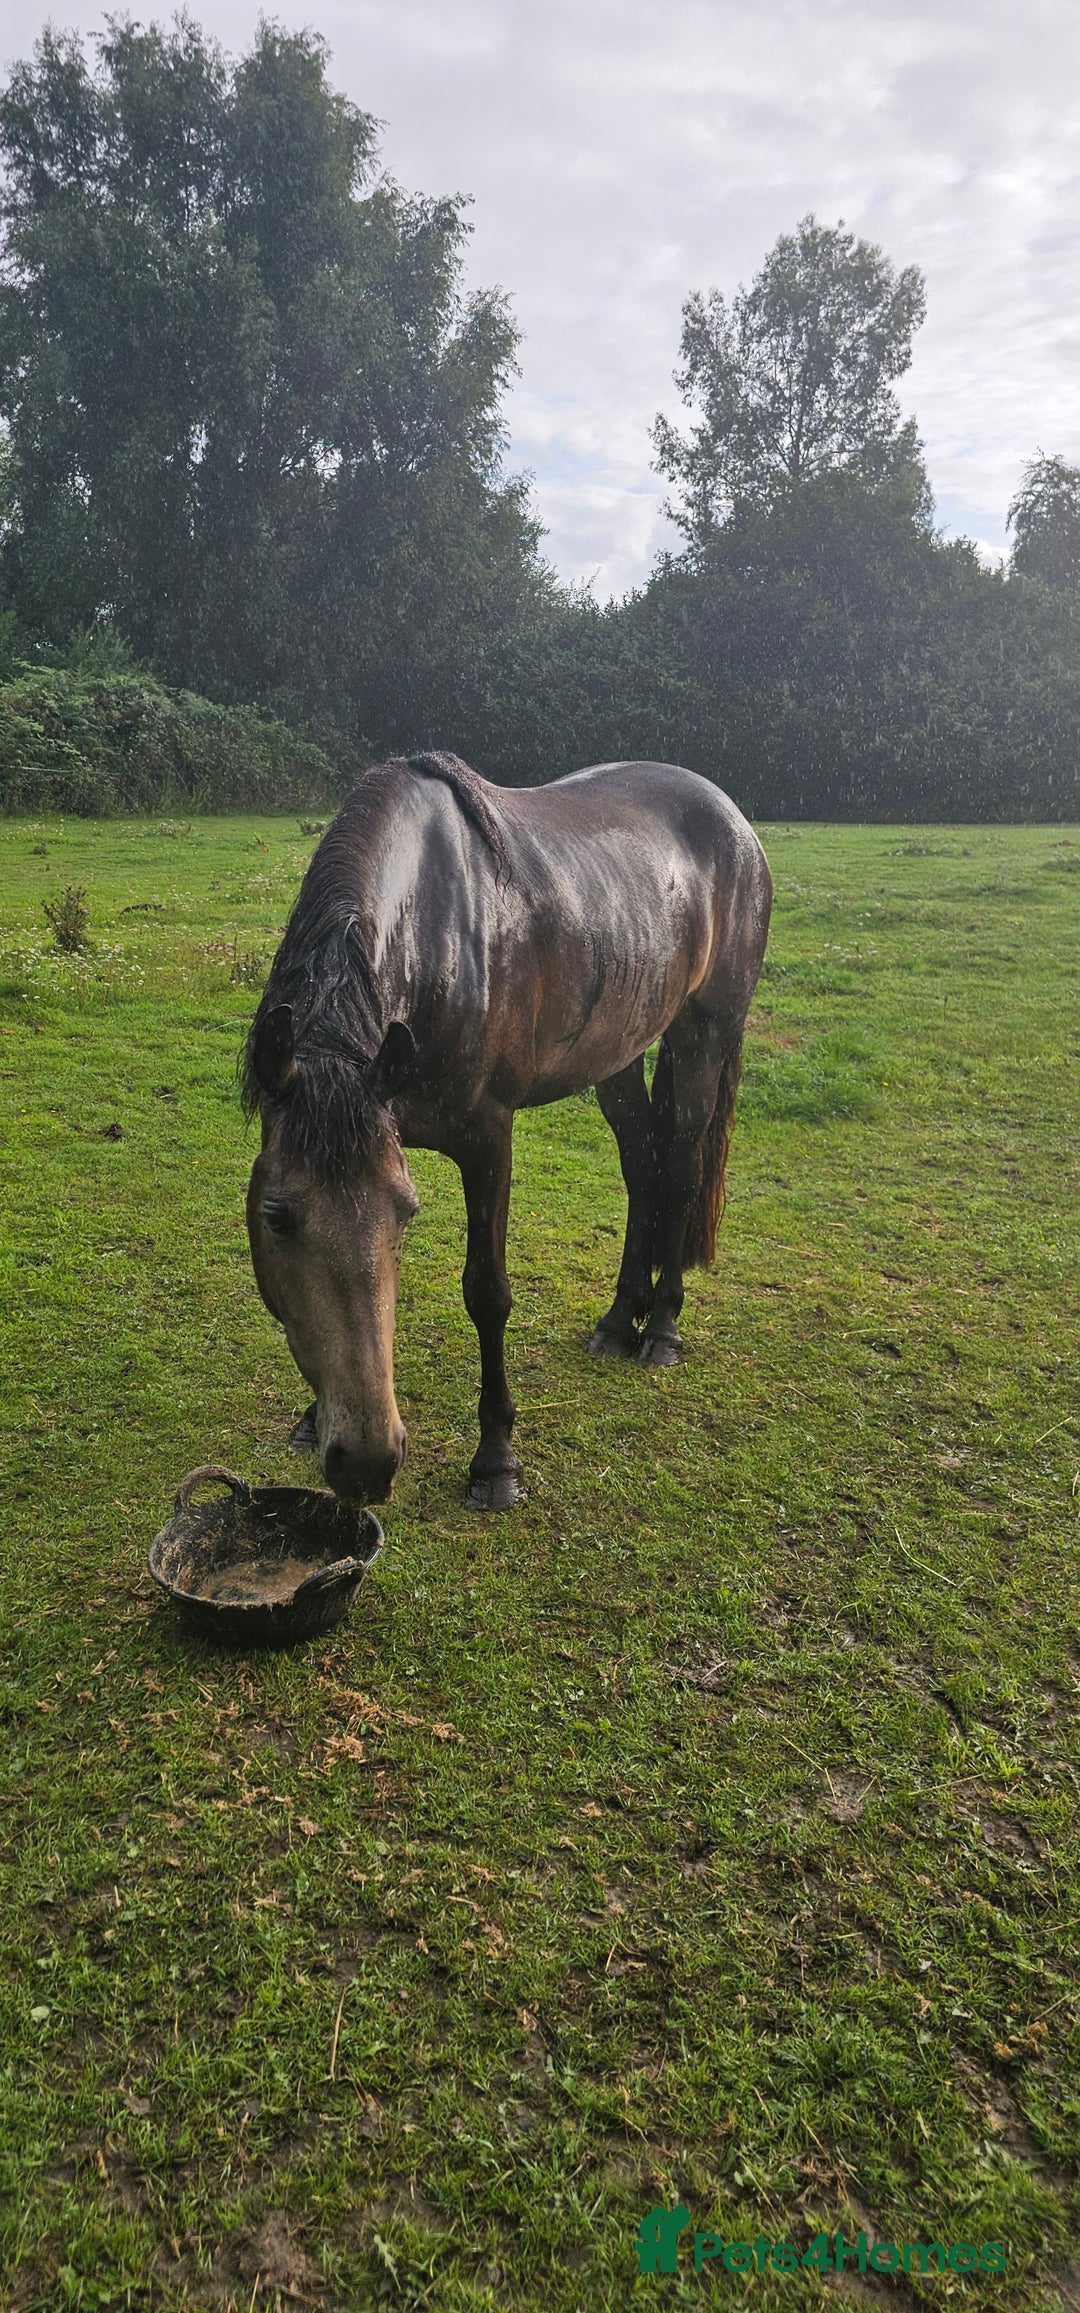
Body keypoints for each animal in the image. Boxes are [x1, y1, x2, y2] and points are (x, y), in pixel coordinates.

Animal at [243, 753, 772, 1510]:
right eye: (277, 1217)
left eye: (405, 1213)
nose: (368, 1461)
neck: (435, 933)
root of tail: (733, 820)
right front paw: (314, 1418)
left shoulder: (488, 1140)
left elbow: (486, 1294)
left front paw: (495, 1461)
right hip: (617, 1052)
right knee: (643, 1165)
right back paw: (620, 1320)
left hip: (704, 1036)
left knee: (681, 1164)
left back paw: (663, 1327)